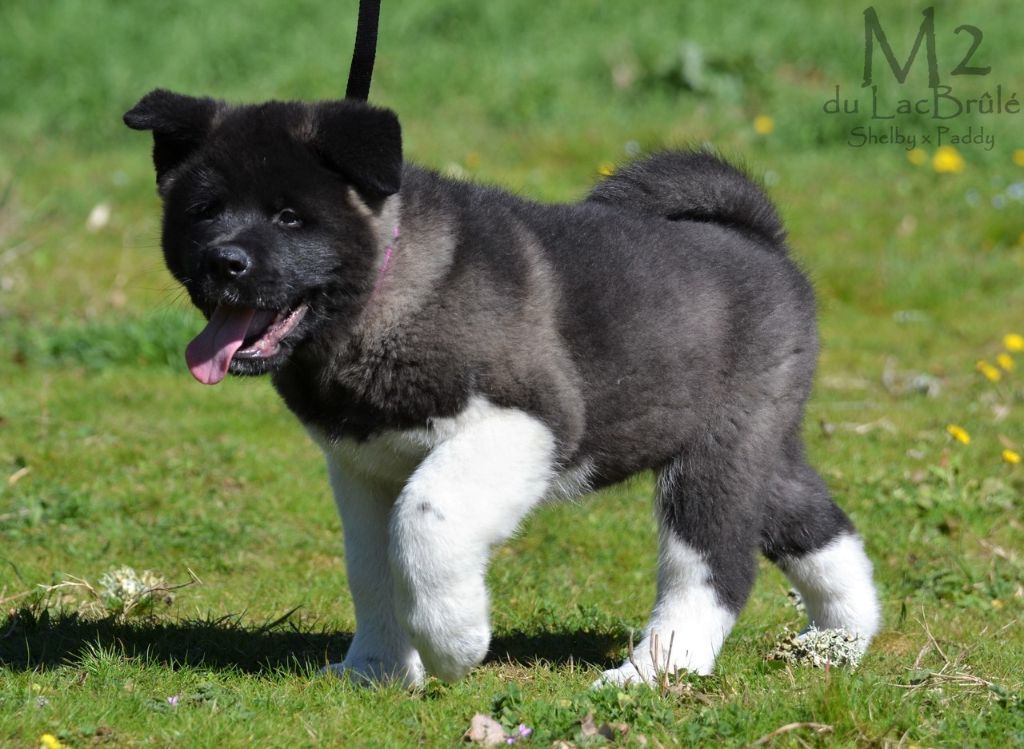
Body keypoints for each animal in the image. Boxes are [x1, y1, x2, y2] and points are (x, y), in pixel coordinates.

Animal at [124, 89, 880, 686]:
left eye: (288, 217)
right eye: (204, 210)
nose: (223, 262)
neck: (385, 292)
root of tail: (761, 239)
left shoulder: (526, 425)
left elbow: (425, 521)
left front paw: (453, 641)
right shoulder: (364, 465)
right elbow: (371, 567)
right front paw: (375, 669)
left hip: (716, 455)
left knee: (713, 564)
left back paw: (655, 671)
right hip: (759, 443)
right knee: (816, 524)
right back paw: (841, 638)